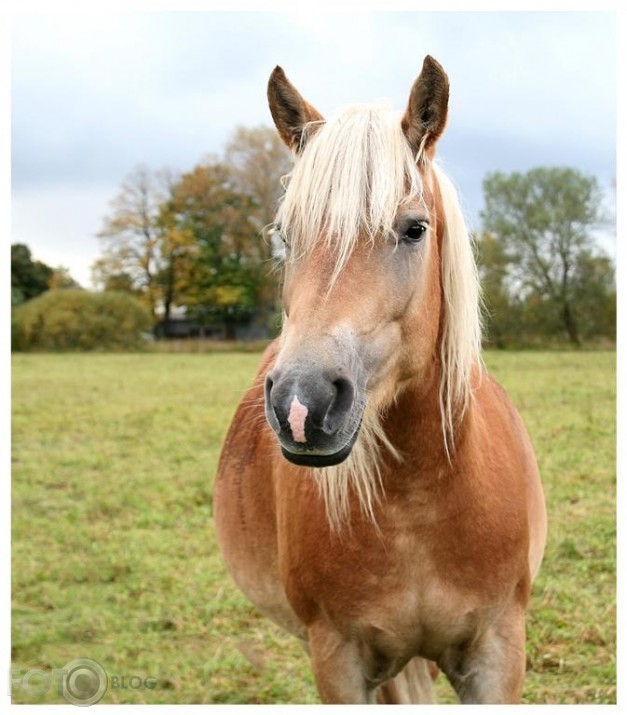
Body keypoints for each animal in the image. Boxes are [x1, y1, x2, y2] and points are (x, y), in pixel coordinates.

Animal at [213, 56, 548, 704]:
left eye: (414, 228)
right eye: (284, 235)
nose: (302, 403)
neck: (418, 505)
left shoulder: (498, 652)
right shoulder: (338, 659)